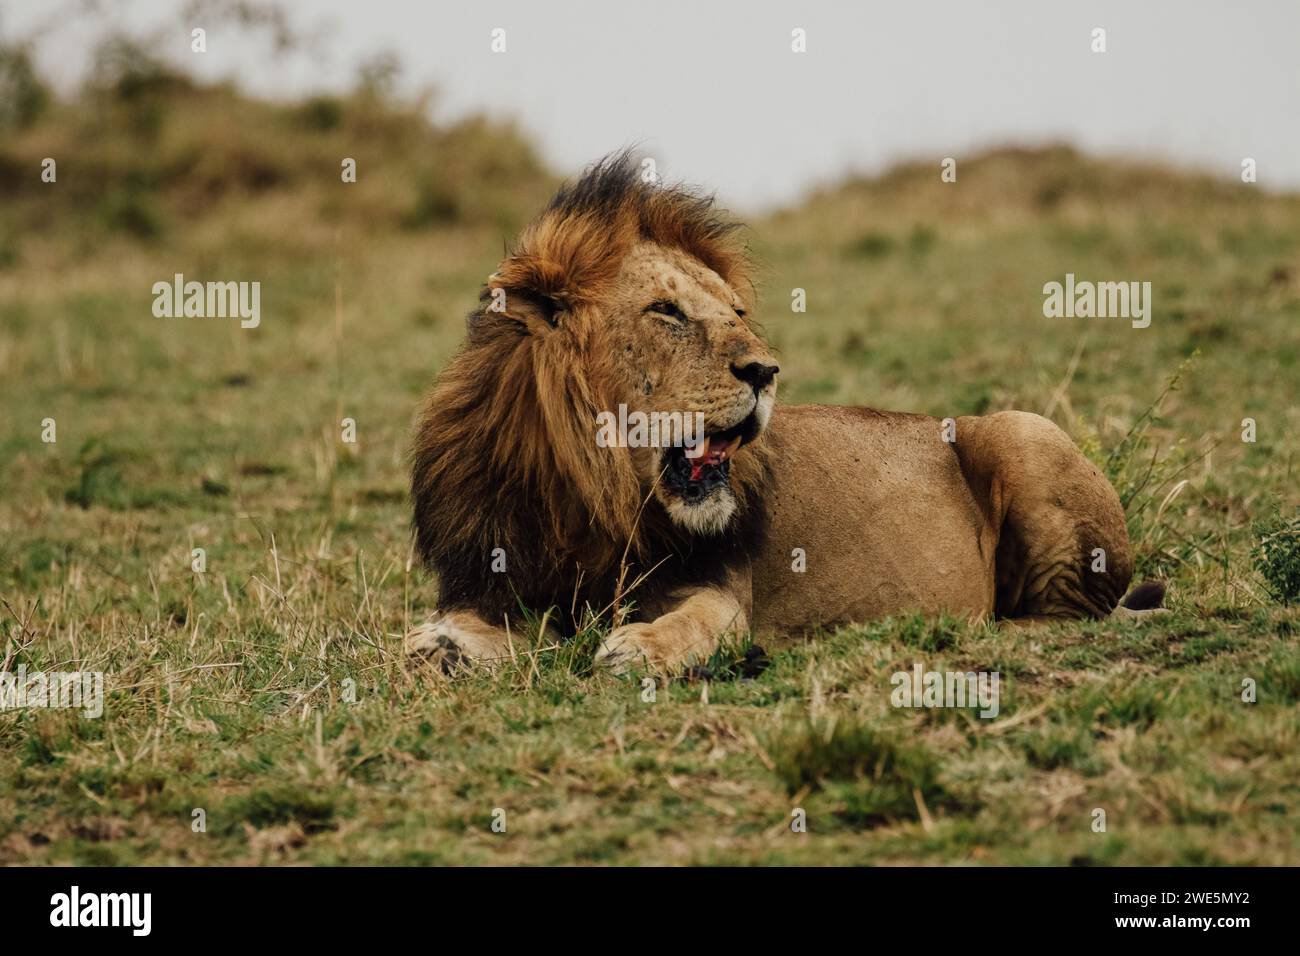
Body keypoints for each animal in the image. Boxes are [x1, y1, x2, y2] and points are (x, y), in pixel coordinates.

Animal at [405, 155, 1159, 671]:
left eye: (737, 313)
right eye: (666, 311)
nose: (765, 371)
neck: (595, 492)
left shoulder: (718, 589)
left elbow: (696, 624)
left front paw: (638, 648)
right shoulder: (495, 573)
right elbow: (463, 623)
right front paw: (440, 644)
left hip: (1022, 430)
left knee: (1073, 614)